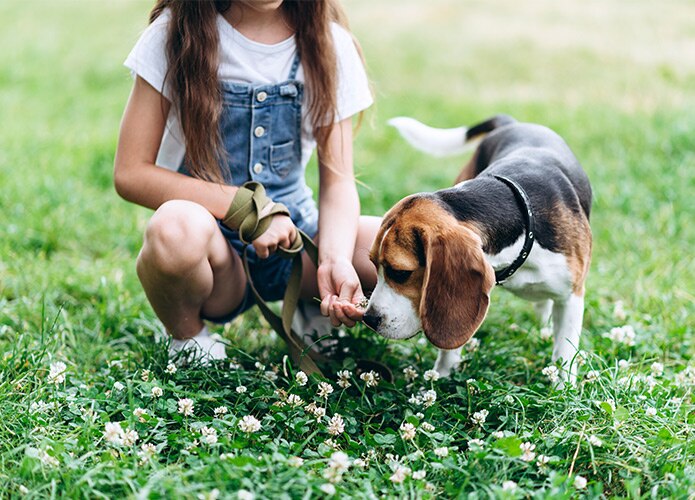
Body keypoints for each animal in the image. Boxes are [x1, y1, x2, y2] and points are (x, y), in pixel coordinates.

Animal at [364, 115, 592, 384]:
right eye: (373, 264)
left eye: (400, 273)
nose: (368, 319)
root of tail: (512, 122)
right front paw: (442, 377)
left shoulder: (572, 296)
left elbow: (565, 351)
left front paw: (561, 387)